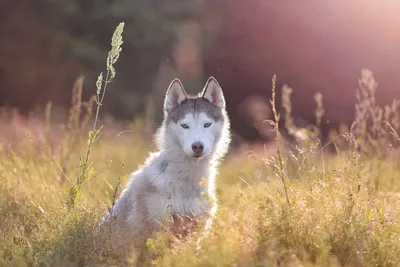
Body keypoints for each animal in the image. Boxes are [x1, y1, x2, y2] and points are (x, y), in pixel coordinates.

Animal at [101, 77, 231, 255]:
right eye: (184, 126)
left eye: (207, 124)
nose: (197, 146)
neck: (187, 181)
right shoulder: (157, 226)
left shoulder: (195, 229)